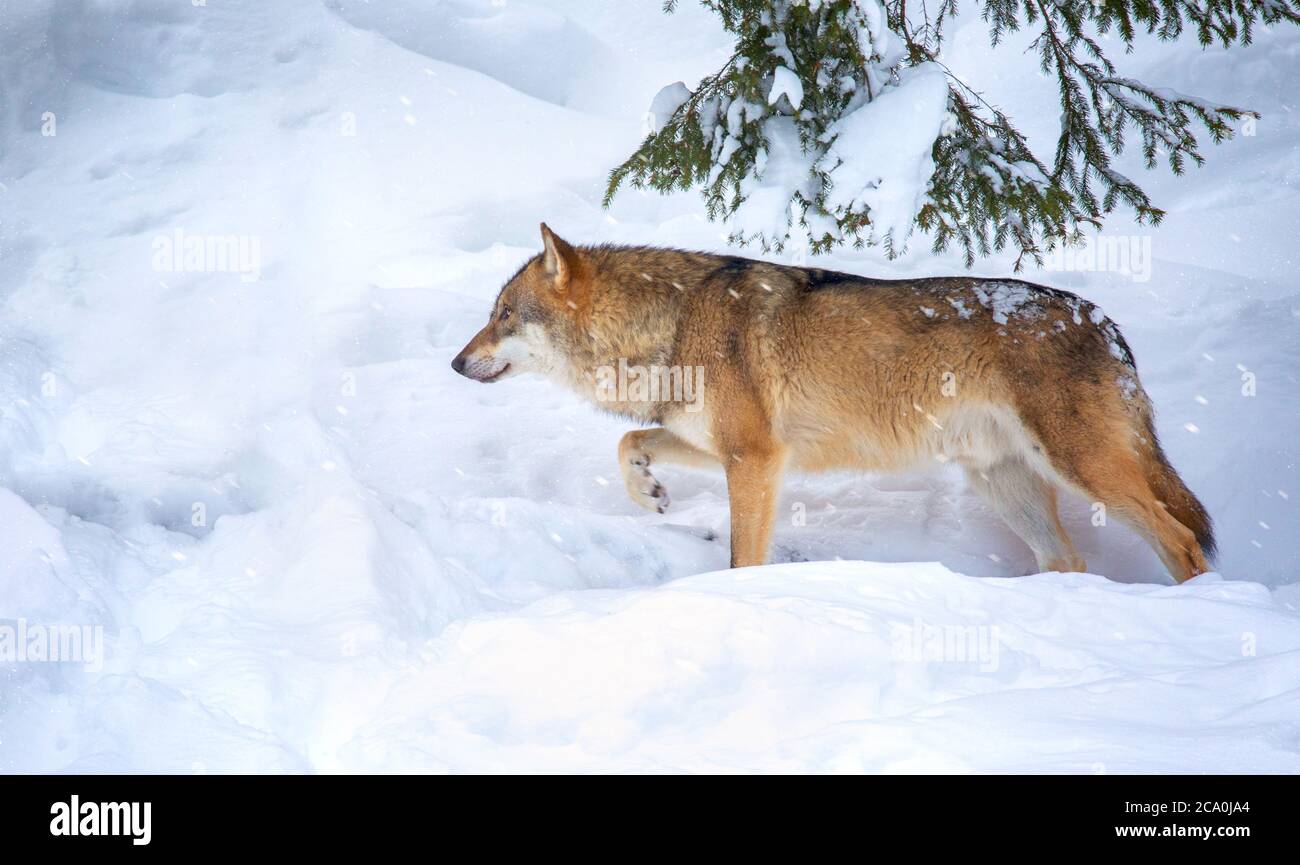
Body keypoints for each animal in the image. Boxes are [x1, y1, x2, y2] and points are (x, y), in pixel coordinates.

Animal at [452, 226, 1211, 582]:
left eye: (503, 316)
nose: (456, 363)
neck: (668, 326)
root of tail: (1108, 324)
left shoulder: (755, 458)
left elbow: (743, 558)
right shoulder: (725, 446)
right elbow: (626, 443)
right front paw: (649, 491)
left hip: (1082, 467)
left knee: (1181, 539)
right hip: (1005, 484)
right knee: (1071, 560)